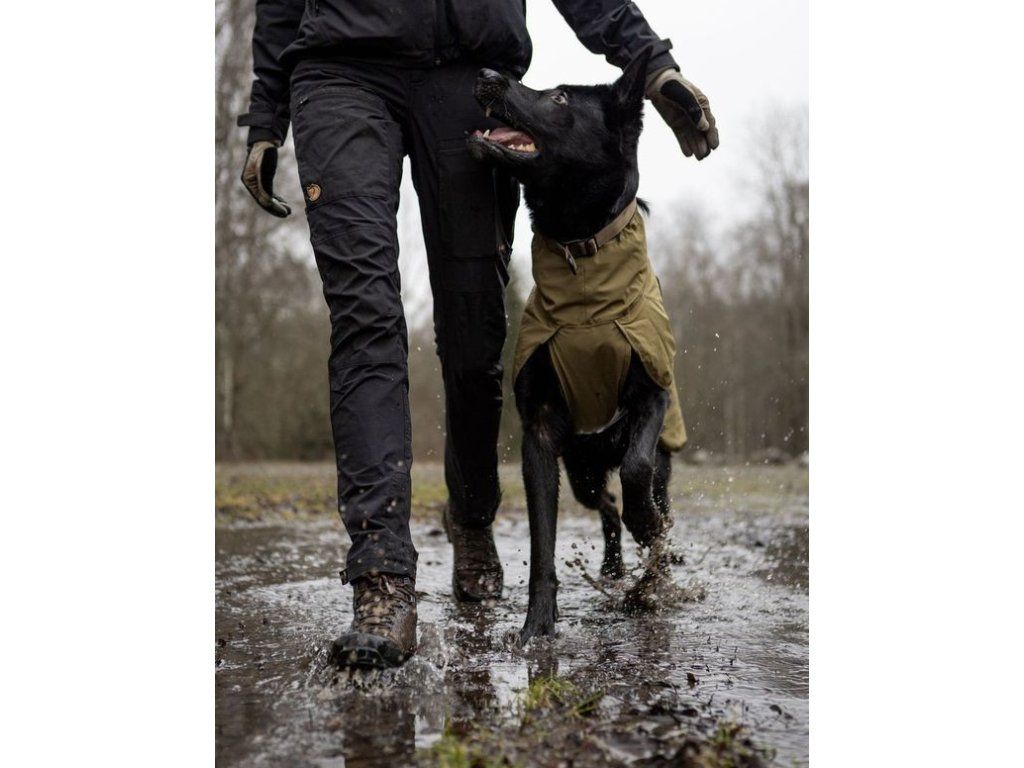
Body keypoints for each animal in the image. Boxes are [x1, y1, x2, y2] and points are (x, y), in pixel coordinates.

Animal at [467, 48, 687, 645]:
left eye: (560, 97)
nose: (485, 75)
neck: (578, 249)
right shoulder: (540, 432)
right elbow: (542, 540)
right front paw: (537, 626)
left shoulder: (654, 394)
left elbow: (636, 470)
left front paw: (646, 531)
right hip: (582, 470)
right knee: (603, 504)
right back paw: (614, 567)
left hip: (656, 458)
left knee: (650, 500)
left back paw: (652, 568)